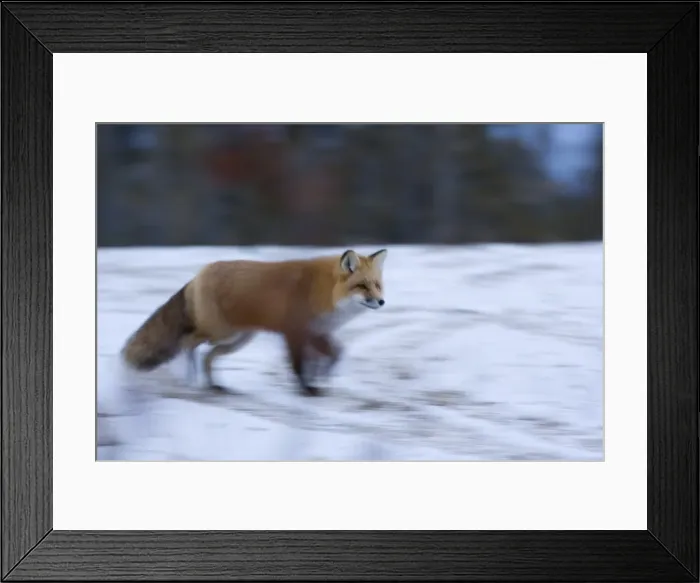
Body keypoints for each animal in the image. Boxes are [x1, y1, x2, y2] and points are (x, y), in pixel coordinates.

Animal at [120, 248, 388, 396]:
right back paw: (191, 377)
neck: (323, 291)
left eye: (376, 285)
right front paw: (306, 390)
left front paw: (321, 377)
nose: (381, 301)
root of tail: (199, 274)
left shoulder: (317, 332)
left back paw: (213, 385)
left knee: (208, 356)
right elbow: (298, 366)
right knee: (189, 343)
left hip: (237, 340)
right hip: (219, 332)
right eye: (362, 286)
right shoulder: (294, 332)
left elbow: (335, 354)